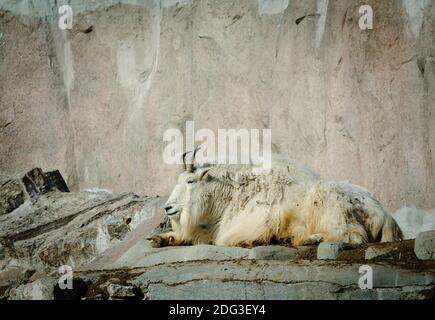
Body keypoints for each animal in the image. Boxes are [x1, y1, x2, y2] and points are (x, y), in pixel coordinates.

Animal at [149, 152, 402, 248]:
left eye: (190, 181)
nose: (168, 207)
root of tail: (385, 217)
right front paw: (159, 238)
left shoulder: (252, 221)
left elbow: (224, 239)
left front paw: (251, 241)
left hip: (331, 206)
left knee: (353, 236)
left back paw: (311, 238)